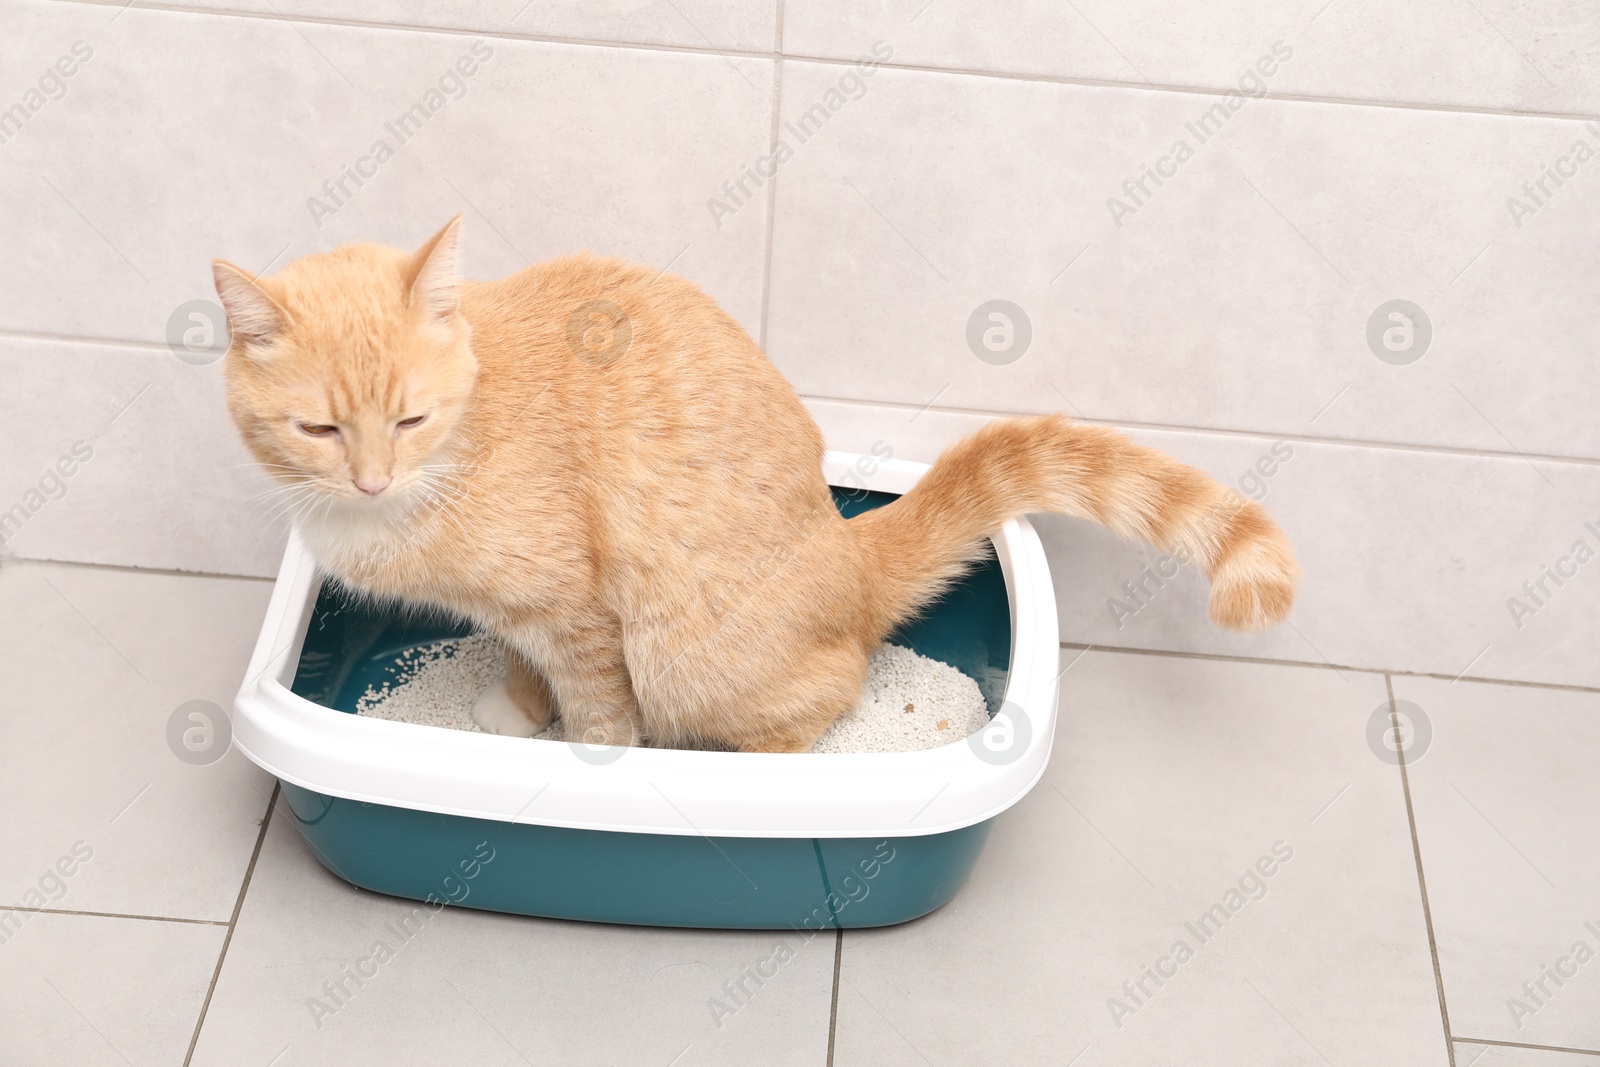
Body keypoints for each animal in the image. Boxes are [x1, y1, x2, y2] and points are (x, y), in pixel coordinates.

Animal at [212, 219, 1292, 751]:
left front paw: (581, 756)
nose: (369, 478)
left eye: (408, 419)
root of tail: (848, 550)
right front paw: (514, 711)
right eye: (319, 428)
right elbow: (522, 661)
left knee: (823, 700)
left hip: (692, 655)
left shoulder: (579, 610)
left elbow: (598, 707)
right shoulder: (519, 609)